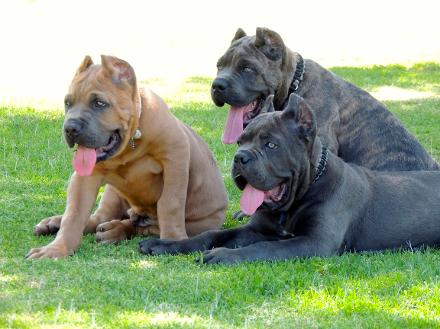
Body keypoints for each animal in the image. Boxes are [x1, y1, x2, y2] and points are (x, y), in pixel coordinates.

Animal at [139, 93, 440, 262]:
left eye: (271, 145)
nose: (240, 158)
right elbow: (212, 234)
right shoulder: (256, 229)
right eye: (241, 141)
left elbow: (264, 249)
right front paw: (164, 244)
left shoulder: (313, 242)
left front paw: (224, 255)